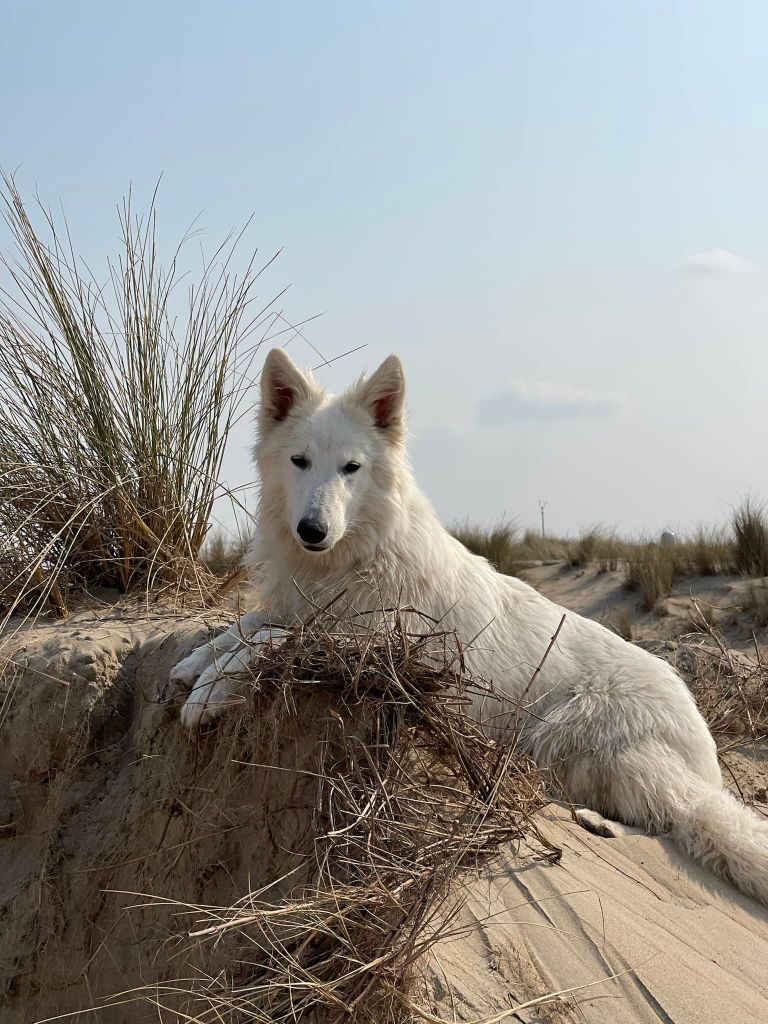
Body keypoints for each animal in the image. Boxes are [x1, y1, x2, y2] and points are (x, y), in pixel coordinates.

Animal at [173, 350, 768, 905]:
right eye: (299, 461)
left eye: (351, 468)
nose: (312, 530)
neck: (352, 557)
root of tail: (697, 722)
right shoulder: (298, 605)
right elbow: (249, 623)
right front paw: (194, 664)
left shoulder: (371, 644)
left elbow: (274, 636)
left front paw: (208, 691)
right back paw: (595, 821)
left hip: (588, 742)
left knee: (676, 818)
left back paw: (602, 823)